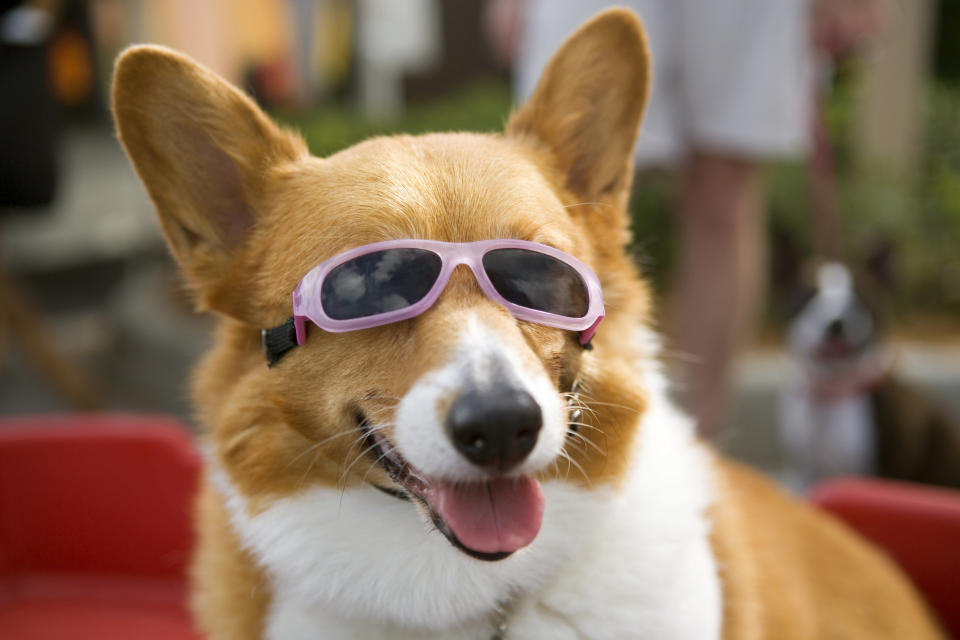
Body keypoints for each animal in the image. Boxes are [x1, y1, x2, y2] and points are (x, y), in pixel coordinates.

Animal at [780, 262, 960, 492]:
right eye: (808, 296)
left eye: (859, 300)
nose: (837, 321)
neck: (832, 390)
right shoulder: (800, 473)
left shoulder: (880, 472)